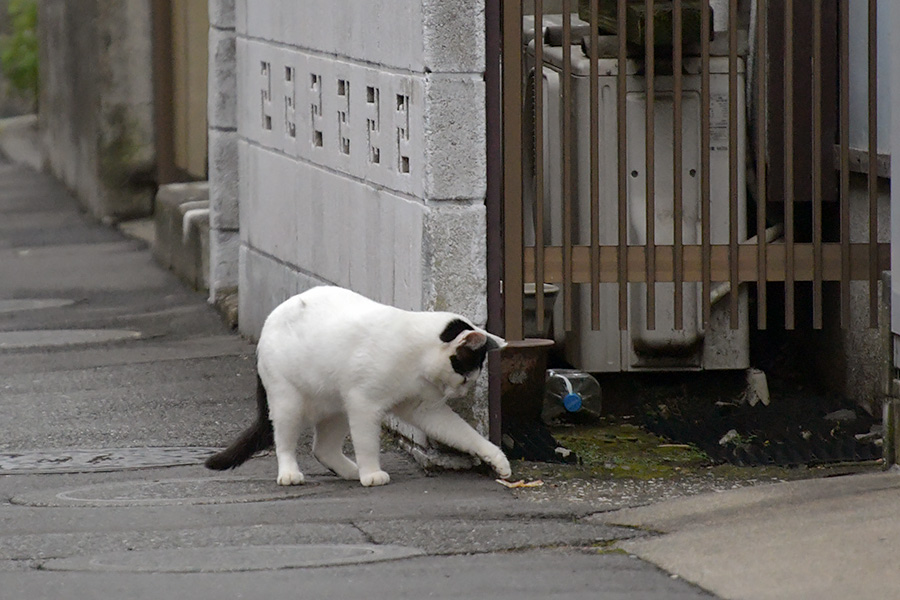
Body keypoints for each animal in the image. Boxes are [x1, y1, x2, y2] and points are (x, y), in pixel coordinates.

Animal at [207, 286, 510, 488]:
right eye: (465, 377)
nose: (463, 392)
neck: (414, 357)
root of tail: (267, 324)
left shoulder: (423, 408)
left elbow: (464, 434)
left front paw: (497, 459)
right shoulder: (364, 404)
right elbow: (366, 441)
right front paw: (372, 473)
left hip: (337, 406)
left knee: (322, 449)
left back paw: (350, 471)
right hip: (288, 401)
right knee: (284, 440)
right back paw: (290, 474)